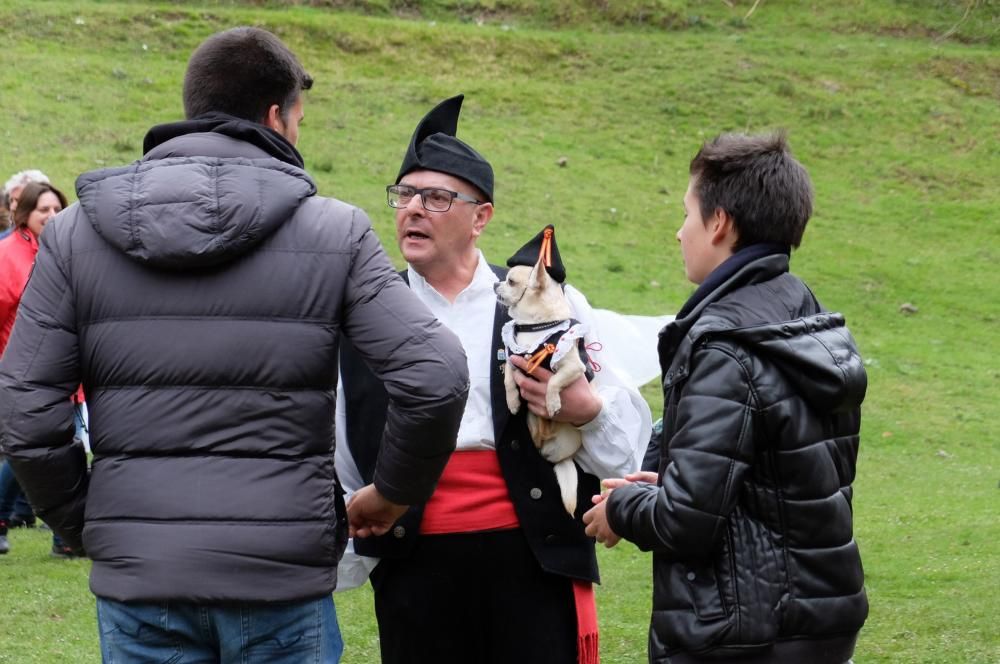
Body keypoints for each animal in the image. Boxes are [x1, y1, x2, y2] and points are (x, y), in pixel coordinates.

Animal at [494, 252, 592, 516]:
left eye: (511, 281)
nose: (495, 284)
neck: (534, 328)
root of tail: (559, 459)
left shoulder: (574, 368)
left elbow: (553, 382)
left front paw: (552, 403)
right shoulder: (513, 358)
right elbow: (508, 379)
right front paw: (512, 401)